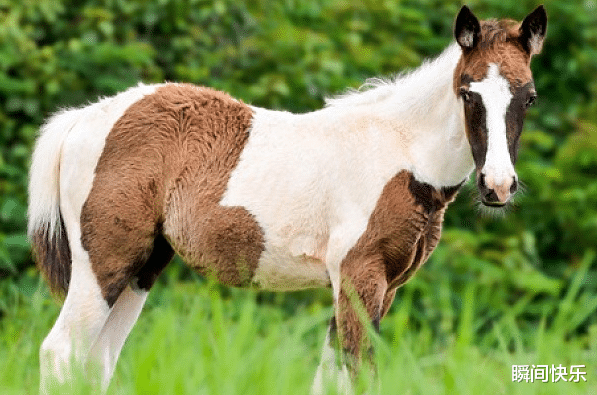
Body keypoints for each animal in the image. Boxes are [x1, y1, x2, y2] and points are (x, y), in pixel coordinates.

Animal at [30, 4, 548, 394]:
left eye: (529, 97)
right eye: (468, 92)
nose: (498, 186)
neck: (402, 152)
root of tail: (82, 118)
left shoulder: (377, 287)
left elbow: (330, 378)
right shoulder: (360, 275)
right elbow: (360, 374)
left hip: (143, 266)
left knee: (96, 360)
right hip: (104, 260)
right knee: (60, 353)